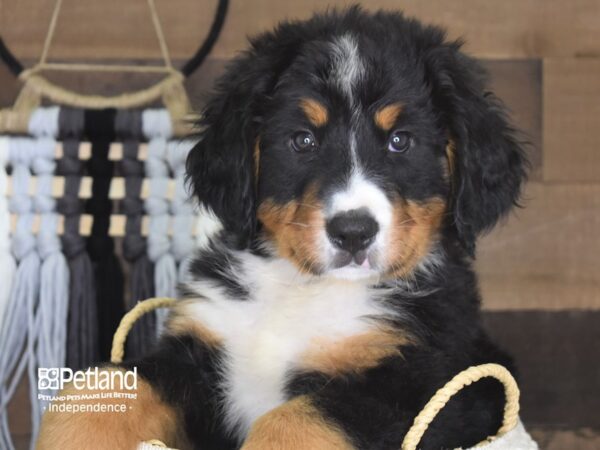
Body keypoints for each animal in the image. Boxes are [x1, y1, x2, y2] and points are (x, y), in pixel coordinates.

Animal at [37, 7, 524, 450]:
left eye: (400, 141)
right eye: (303, 140)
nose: (353, 232)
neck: (301, 290)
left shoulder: (431, 385)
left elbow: (295, 419)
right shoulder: (195, 354)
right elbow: (95, 391)